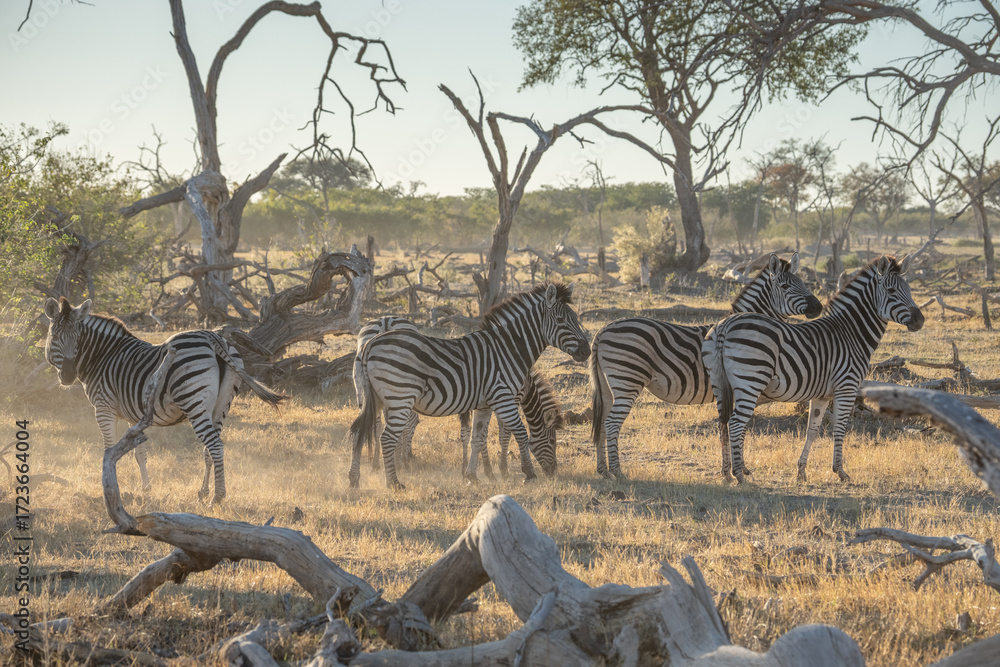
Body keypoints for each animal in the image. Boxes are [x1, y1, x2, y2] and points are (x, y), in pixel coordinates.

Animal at [43, 297, 285, 504]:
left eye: (77, 339)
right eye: (54, 338)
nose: (68, 376)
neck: (102, 356)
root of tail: (213, 337)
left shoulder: (104, 409)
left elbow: (110, 451)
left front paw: (111, 487)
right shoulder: (134, 415)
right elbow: (139, 453)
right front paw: (146, 489)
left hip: (193, 399)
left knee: (215, 445)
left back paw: (218, 497)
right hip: (221, 405)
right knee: (209, 448)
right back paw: (203, 491)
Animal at [350, 282, 589, 489]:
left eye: (575, 319)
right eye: (560, 320)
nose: (586, 351)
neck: (509, 349)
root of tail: (372, 342)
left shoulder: (484, 404)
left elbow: (477, 438)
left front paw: (473, 476)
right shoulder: (503, 398)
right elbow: (518, 432)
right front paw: (527, 474)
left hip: (372, 397)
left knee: (360, 430)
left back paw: (355, 479)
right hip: (400, 398)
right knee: (387, 438)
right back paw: (393, 482)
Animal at [590, 253, 822, 479]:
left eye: (804, 283)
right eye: (785, 286)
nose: (818, 307)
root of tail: (602, 330)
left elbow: (727, 426)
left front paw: (731, 470)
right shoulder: (743, 386)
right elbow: (738, 427)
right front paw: (738, 469)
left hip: (608, 385)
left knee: (601, 421)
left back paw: (603, 470)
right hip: (627, 380)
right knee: (612, 423)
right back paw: (617, 471)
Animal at [703, 255, 924, 484]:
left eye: (909, 289)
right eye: (892, 291)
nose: (920, 320)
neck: (851, 334)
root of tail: (725, 325)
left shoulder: (822, 395)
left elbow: (812, 430)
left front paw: (801, 471)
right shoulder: (846, 387)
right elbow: (839, 428)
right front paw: (840, 471)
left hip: (720, 383)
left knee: (723, 422)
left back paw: (726, 473)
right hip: (750, 381)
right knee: (736, 423)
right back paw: (739, 474)